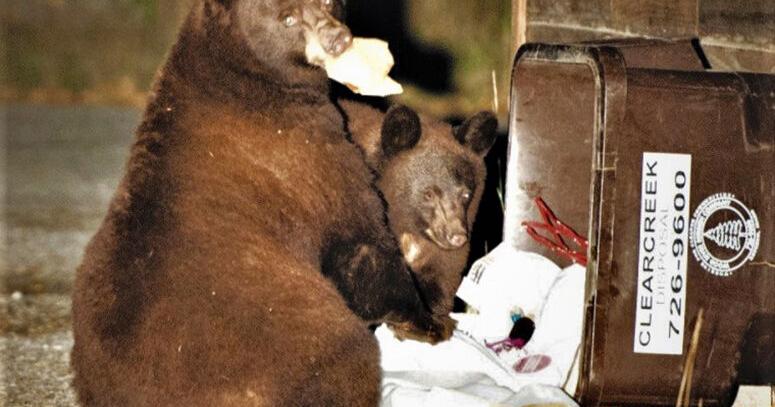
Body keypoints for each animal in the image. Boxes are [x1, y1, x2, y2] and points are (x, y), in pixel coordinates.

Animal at [71, 1, 451, 406]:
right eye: (287, 18)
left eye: (328, 1)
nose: (338, 39)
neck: (245, 77)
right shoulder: (313, 163)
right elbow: (364, 240)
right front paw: (431, 321)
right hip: (313, 339)